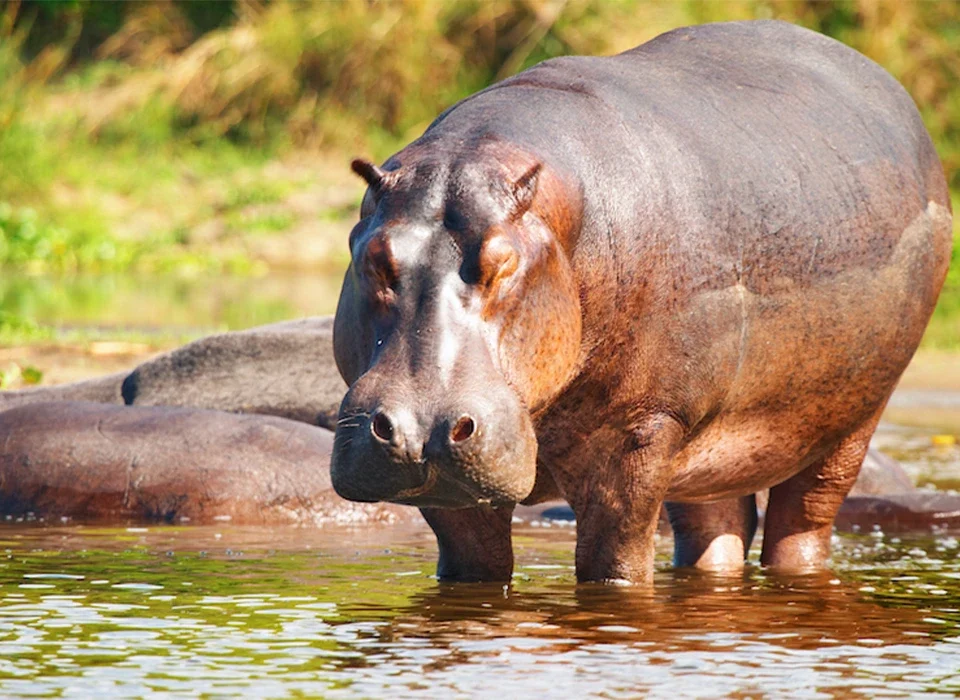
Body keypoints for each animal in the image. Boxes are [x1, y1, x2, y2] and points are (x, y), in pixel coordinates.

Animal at [330, 20, 953, 584]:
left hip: (851, 418)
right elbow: (473, 565)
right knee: (715, 530)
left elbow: (615, 564)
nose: (419, 431)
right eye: (374, 257)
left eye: (503, 263)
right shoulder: (455, 491)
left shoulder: (643, 429)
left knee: (803, 523)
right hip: (704, 453)